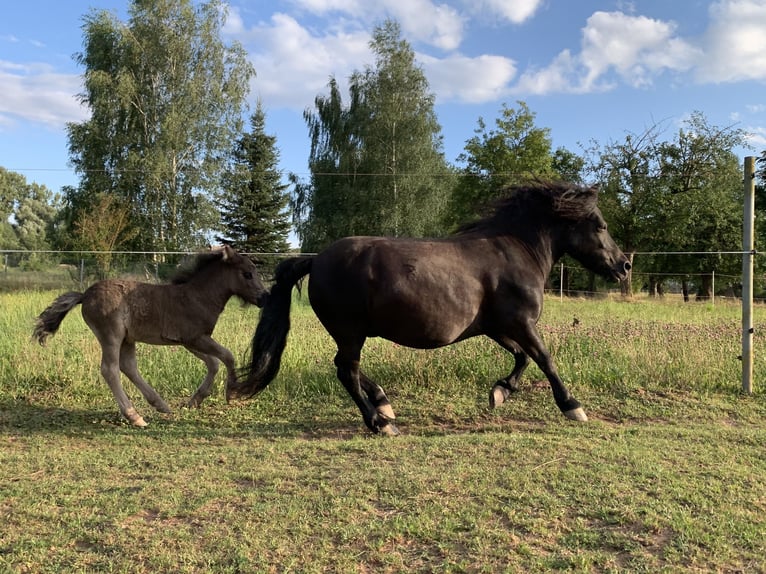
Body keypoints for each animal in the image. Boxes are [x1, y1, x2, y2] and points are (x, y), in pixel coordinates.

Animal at [226, 180, 632, 436]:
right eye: (600, 225)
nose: (624, 265)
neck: (515, 251)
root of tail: (316, 259)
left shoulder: (499, 327)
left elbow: (522, 359)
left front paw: (499, 393)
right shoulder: (521, 323)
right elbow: (545, 359)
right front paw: (573, 407)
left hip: (352, 334)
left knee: (346, 368)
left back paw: (384, 405)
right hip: (351, 331)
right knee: (347, 371)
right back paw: (381, 423)